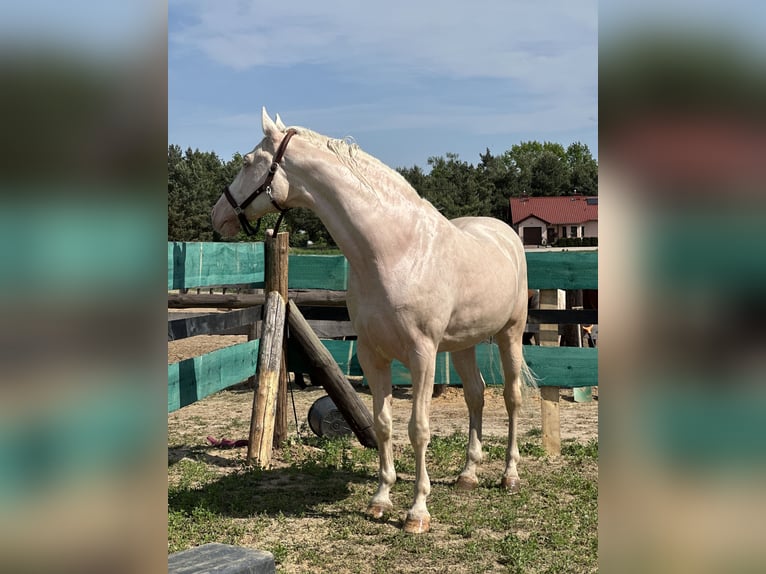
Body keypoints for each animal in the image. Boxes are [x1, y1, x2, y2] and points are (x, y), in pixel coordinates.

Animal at [210, 109, 536, 536]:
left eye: (248, 162)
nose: (217, 215)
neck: (395, 251)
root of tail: (505, 235)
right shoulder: (371, 354)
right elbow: (383, 424)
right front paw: (381, 500)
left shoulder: (422, 355)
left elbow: (418, 429)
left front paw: (417, 512)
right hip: (464, 343)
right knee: (476, 396)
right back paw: (467, 475)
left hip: (510, 334)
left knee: (512, 398)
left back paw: (509, 475)